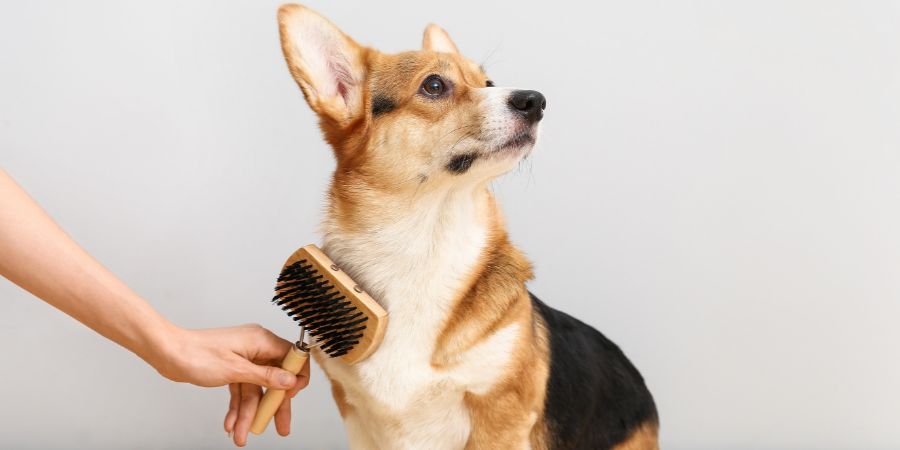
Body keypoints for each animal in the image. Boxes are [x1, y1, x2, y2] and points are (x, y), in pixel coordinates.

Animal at [278, 4, 656, 450]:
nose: (536, 100)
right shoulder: (357, 414)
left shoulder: (500, 415)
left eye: (488, 82)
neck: (424, 243)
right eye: (434, 85)